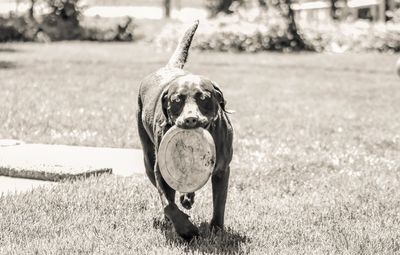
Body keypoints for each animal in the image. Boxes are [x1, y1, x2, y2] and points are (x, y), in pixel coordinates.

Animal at [137, 20, 233, 241]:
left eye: (203, 98)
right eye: (177, 100)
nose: (190, 119)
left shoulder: (222, 169)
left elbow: (219, 203)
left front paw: (216, 229)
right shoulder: (160, 169)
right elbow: (168, 204)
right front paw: (186, 230)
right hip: (148, 158)